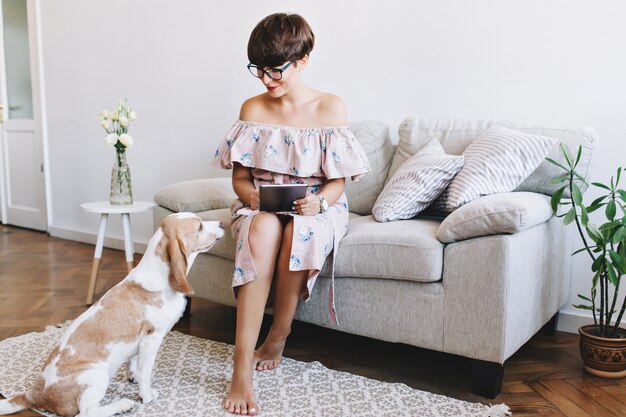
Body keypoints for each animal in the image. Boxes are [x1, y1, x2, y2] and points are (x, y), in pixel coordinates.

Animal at [0, 213, 224, 414]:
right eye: (200, 226)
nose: (222, 222)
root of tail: (34, 394)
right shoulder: (152, 339)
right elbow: (145, 372)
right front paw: (146, 396)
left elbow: (133, 363)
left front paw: (131, 377)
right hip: (98, 375)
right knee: (88, 412)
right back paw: (122, 405)